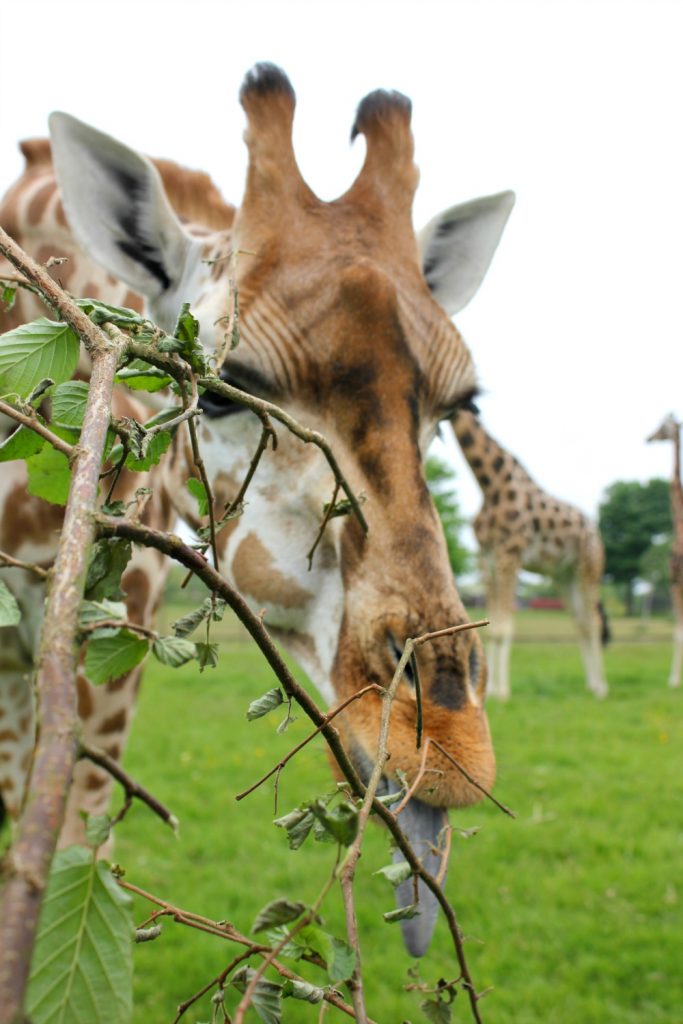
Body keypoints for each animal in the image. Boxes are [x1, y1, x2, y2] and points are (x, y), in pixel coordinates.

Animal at [451, 409, 609, 700]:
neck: (490, 484)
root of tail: (595, 530)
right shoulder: (486, 558)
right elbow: (491, 627)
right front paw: (489, 689)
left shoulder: (510, 555)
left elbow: (503, 627)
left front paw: (502, 692)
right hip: (563, 575)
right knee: (580, 622)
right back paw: (592, 685)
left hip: (589, 567)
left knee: (593, 620)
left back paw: (602, 688)